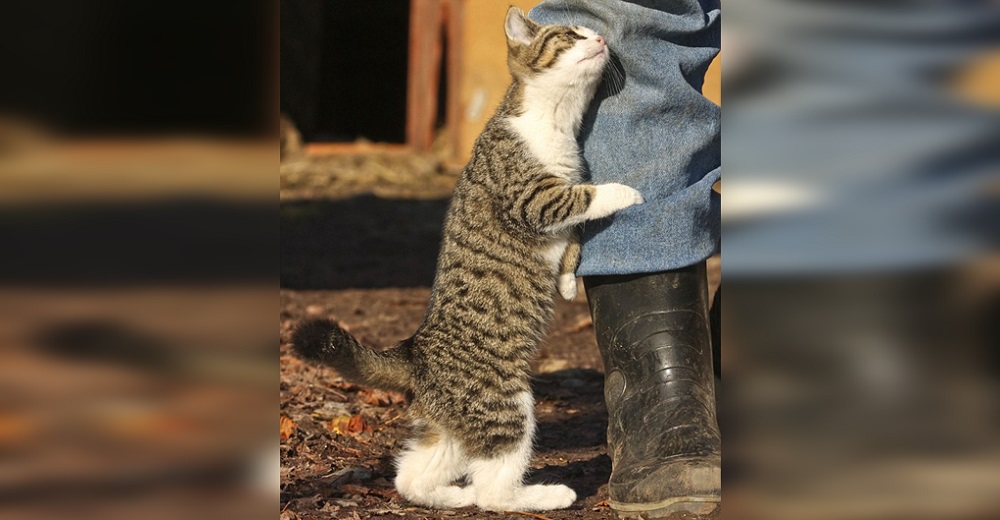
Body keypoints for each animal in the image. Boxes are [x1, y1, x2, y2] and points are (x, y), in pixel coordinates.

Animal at [292, 7, 644, 512]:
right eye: (569, 35)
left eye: (587, 32)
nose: (599, 38)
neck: (554, 122)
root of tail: (416, 352)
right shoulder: (532, 199)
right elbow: (587, 196)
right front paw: (626, 193)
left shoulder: (555, 206)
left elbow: (575, 231)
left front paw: (567, 280)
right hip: (506, 404)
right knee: (494, 491)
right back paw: (543, 495)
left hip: (452, 429)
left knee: (413, 477)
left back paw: (451, 496)